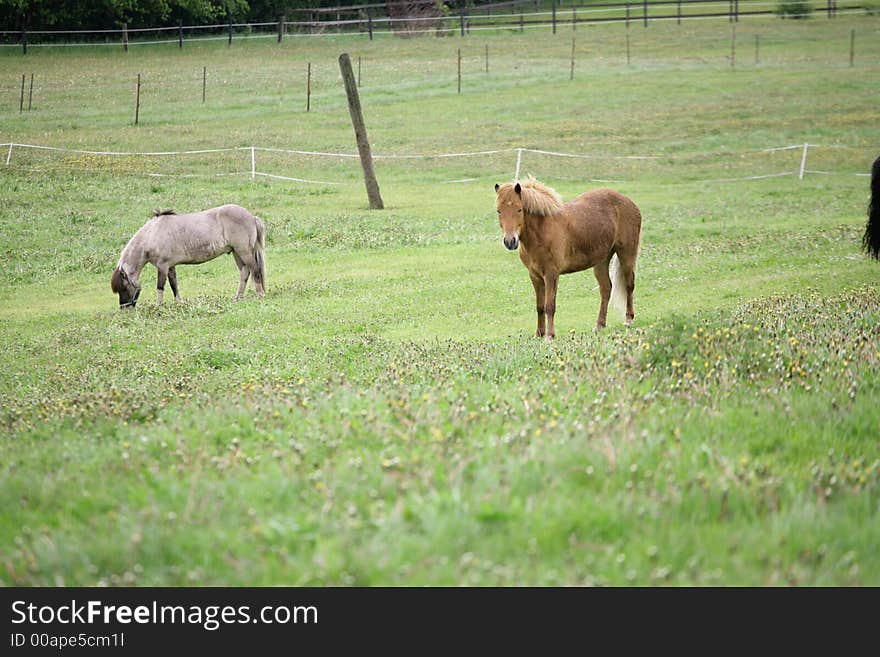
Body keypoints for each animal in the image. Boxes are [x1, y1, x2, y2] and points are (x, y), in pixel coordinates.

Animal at [109, 204, 262, 308]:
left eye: (123, 287)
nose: (124, 309)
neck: (152, 234)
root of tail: (251, 217)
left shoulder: (162, 267)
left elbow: (160, 287)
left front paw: (158, 307)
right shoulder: (170, 267)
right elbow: (174, 285)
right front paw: (179, 303)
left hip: (244, 252)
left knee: (255, 270)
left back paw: (260, 294)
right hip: (236, 253)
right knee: (245, 272)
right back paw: (238, 297)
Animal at [492, 177, 644, 336]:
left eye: (519, 209)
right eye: (499, 211)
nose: (510, 241)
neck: (542, 232)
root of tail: (629, 202)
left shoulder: (551, 274)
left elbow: (549, 306)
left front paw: (549, 335)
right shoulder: (535, 276)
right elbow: (540, 306)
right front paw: (539, 334)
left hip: (626, 254)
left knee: (629, 284)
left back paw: (628, 319)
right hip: (601, 261)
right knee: (606, 289)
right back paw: (599, 325)